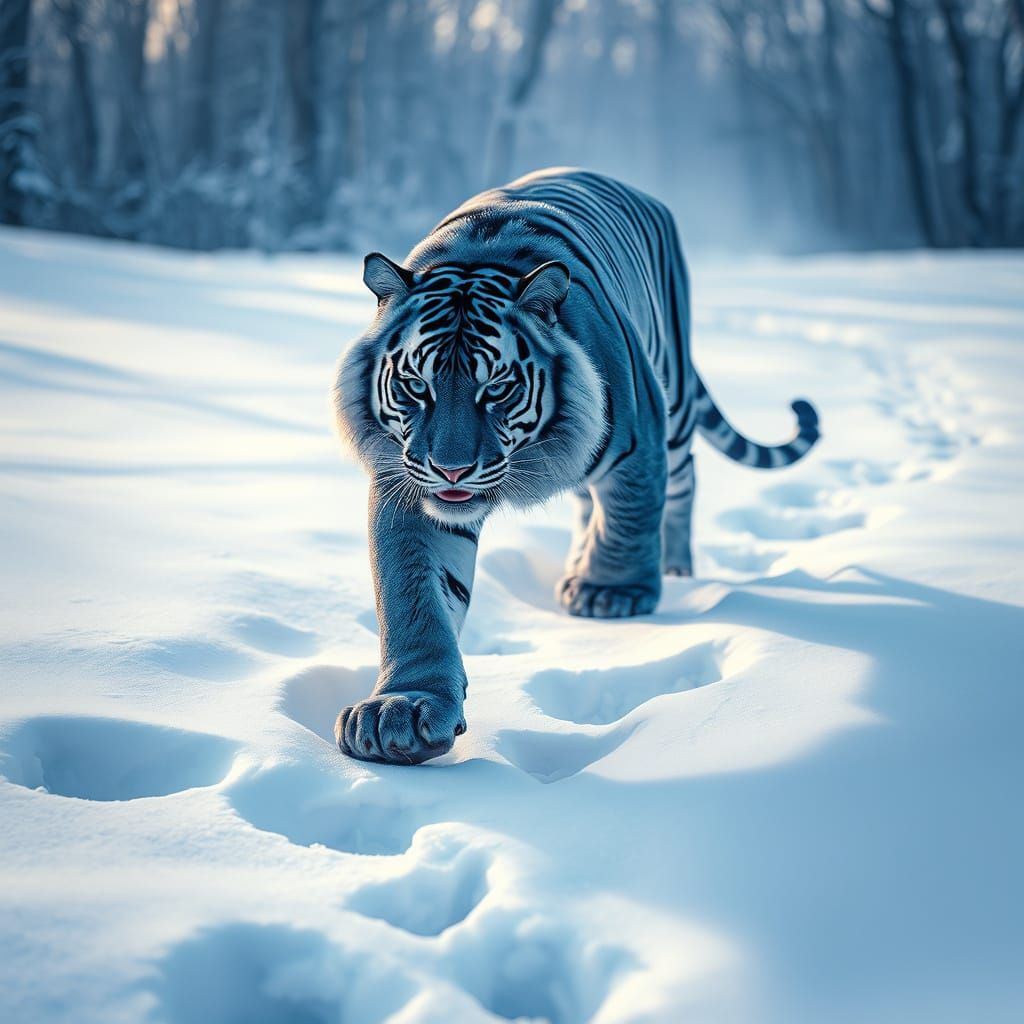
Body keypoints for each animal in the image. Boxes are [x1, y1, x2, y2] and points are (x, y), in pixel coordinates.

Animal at [333, 168, 820, 765]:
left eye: (496, 388)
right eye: (415, 385)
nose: (451, 470)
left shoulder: (638, 439)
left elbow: (630, 518)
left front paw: (612, 594)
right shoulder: (406, 483)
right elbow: (413, 596)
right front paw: (401, 710)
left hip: (675, 399)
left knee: (681, 483)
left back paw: (671, 567)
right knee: (591, 502)